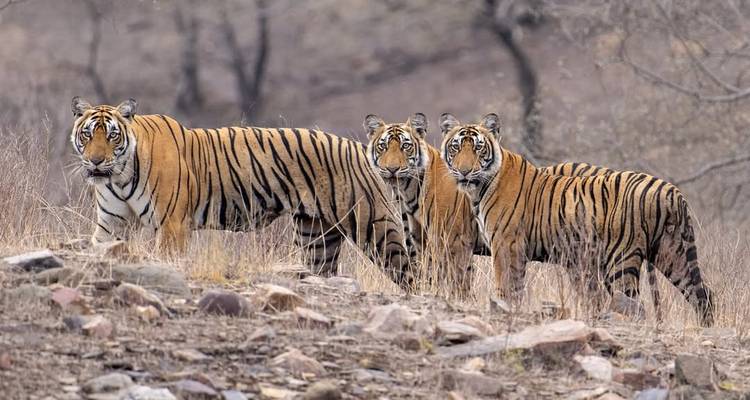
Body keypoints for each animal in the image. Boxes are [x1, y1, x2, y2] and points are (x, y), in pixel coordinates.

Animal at [69, 97, 413, 289]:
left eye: (112, 136)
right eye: (87, 135)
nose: (95, 161)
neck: (119, 176)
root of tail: (361, 145)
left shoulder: (172, 225)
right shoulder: (112, 225)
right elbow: (100, 247)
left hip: (373, 225)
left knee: (408, 267)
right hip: (316, 236)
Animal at [364, 113, 487, 298]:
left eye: (405, 146)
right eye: (383, 146)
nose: (392, 169)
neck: (409, 190)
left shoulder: (454, 240)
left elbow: (458, 279)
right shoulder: (421, 238)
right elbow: (431, 274)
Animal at [439, 112, 714, 326]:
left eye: (478, 147)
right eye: (455, 147)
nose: (464, 171)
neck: (479, 189)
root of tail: (671, 191)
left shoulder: (506, 243)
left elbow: (506, 285)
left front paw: (504, 307)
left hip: (622, 259)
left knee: (634, 304)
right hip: (673, 253)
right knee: (703, 294)